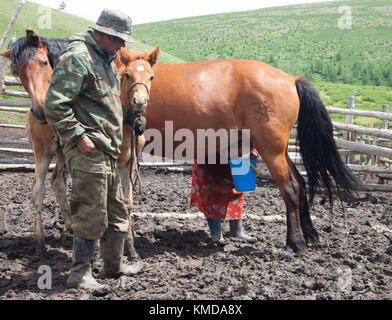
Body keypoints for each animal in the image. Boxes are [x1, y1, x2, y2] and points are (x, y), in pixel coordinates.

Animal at [118, 48, 362, 254]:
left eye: (151, 77)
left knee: (291, 188)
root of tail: (291, 79)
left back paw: (295, 242)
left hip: (271, 150)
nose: (140, 102)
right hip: (280, 151)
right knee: (300, 184)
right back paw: (310, 234)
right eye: (127, 75)